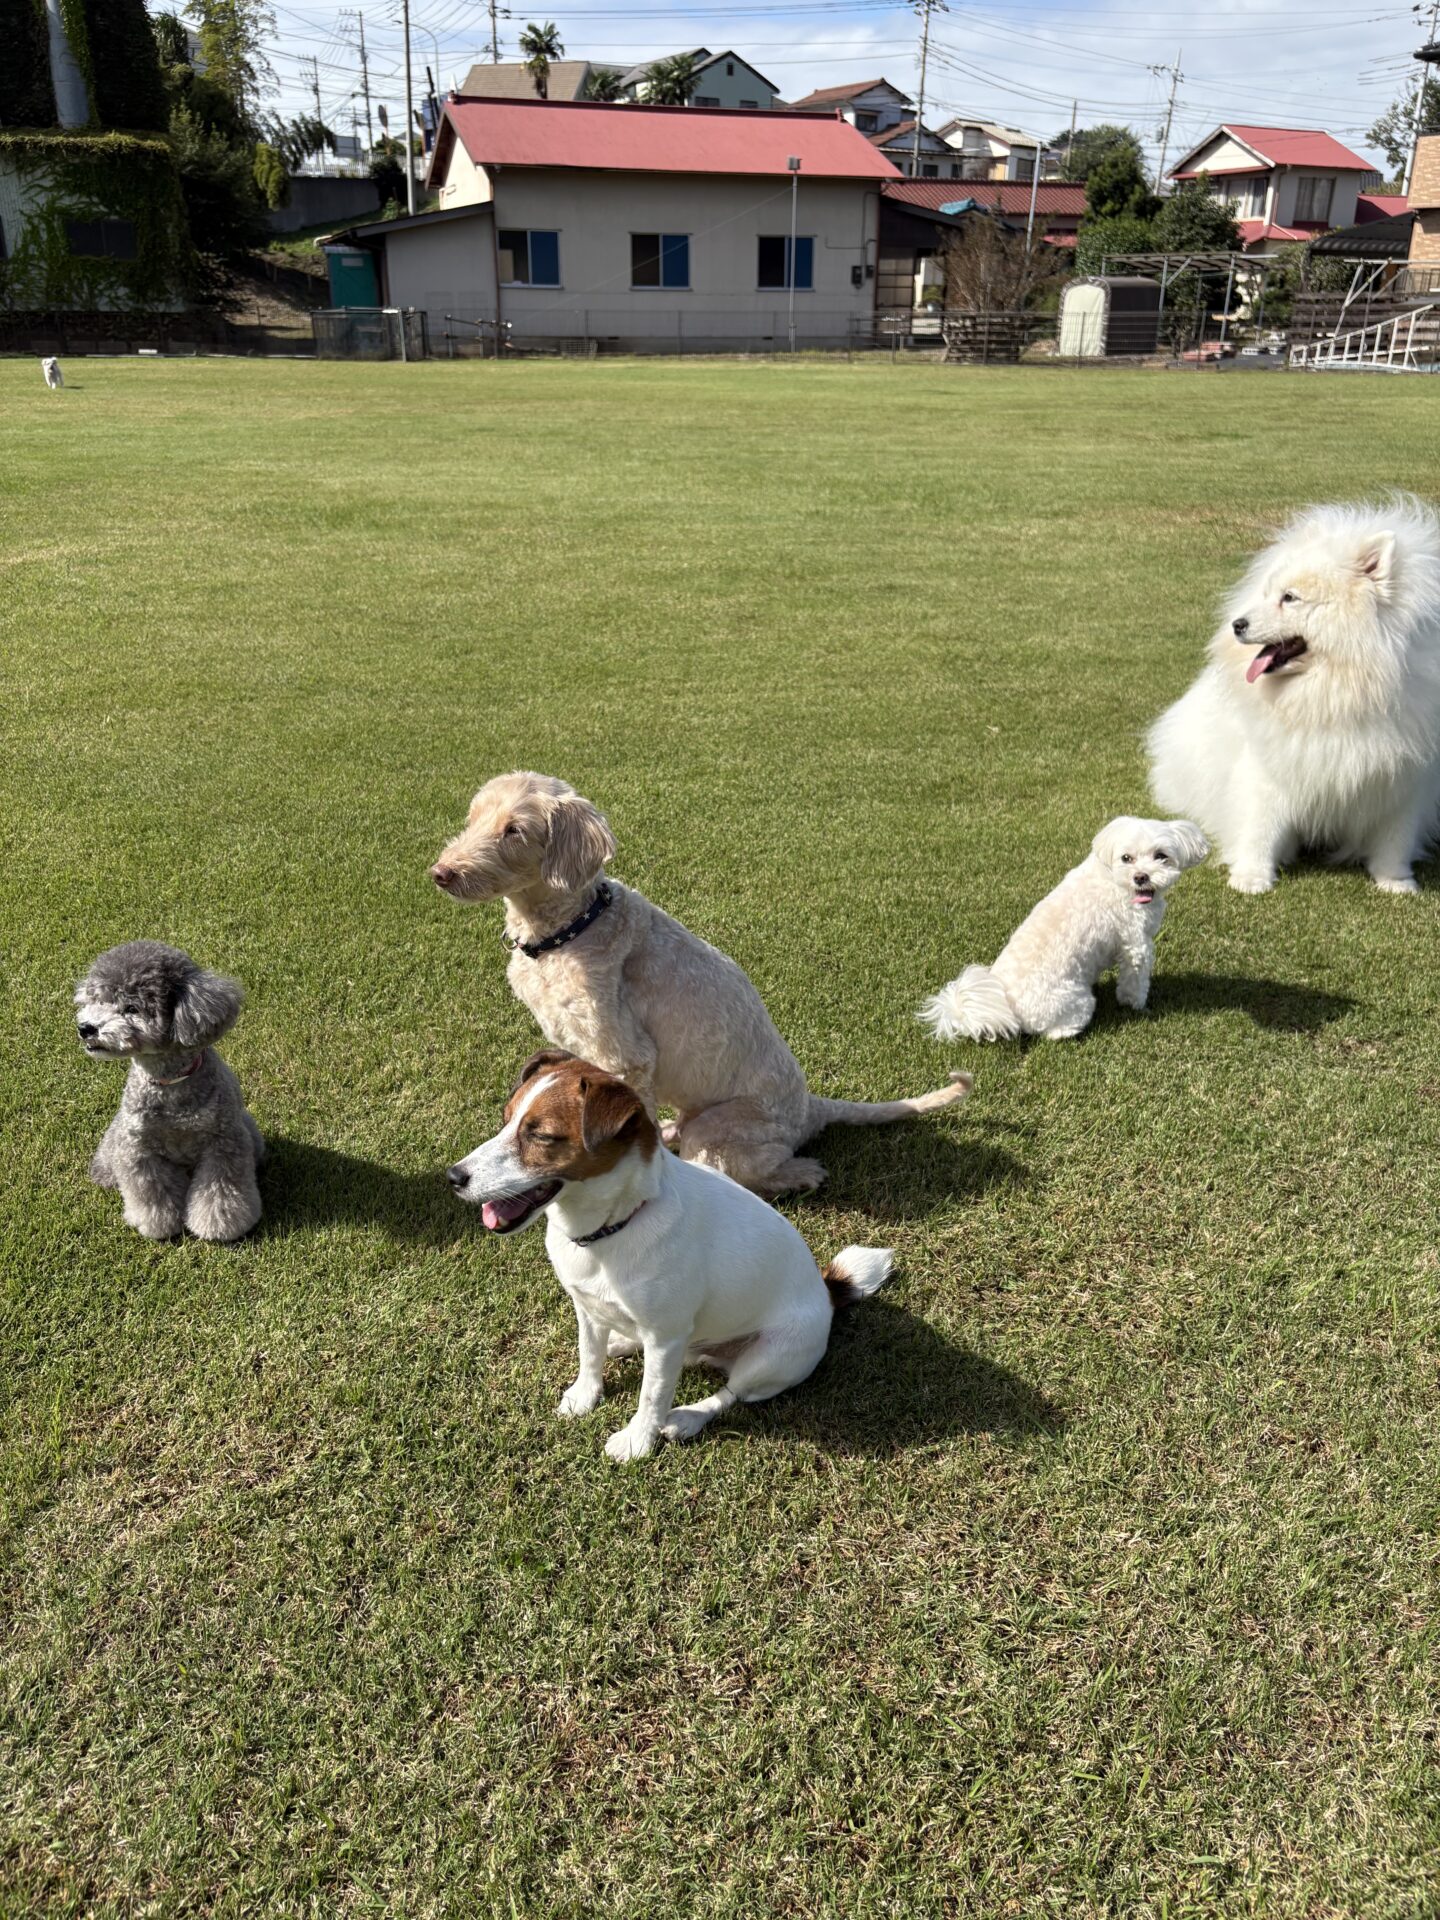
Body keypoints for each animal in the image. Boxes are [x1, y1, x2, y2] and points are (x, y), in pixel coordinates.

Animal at [76, 941, 264, 1241]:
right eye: (97, 1001)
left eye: (131, 1008)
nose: (86, 1028)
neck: (169, 1082)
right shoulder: (138, 1148)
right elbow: (151, 1192)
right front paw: (158, 1225)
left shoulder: (223, 1142)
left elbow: (220, 1191)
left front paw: (220, 1226)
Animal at [431, 772, 970, 1196]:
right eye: (473, 818)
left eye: (514, 830)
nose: (441, 872)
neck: (569, 929)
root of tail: (810, 1109)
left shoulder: (626, 1055)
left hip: (720, 1130)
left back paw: (800, 1174)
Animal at [447, 1050, 893, 1461]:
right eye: (506, 1119)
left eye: (540, 1135)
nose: (453, 1177)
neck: (613, 1227)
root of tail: (828, 1291)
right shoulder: (586, 1307)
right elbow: (589, 1355)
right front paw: (585, 1395)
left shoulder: (666, 1338)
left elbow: (653, 1395)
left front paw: (637, 1441)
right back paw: (622, 1343)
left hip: (774, 1356)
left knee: (729, 1393)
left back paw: (687, 1417)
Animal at [919, 817, 1209, 1042]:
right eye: (1127, 858)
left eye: (1161, 856)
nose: (1141, 877)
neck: (1115, 879)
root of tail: (1007, 1008)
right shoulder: (1136, 945)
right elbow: (1134, 983)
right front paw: (1137, 1006)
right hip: (1078, 1002)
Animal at [1148, 498, 1440, 894]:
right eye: (1269, 594)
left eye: (1290, 598)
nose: (1237, 624)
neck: (1339, 691)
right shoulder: (1270, 768)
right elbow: (1260, 827)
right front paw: (1251, 878)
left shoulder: (1403, 778)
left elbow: (1396, 837)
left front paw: (1396, 882)